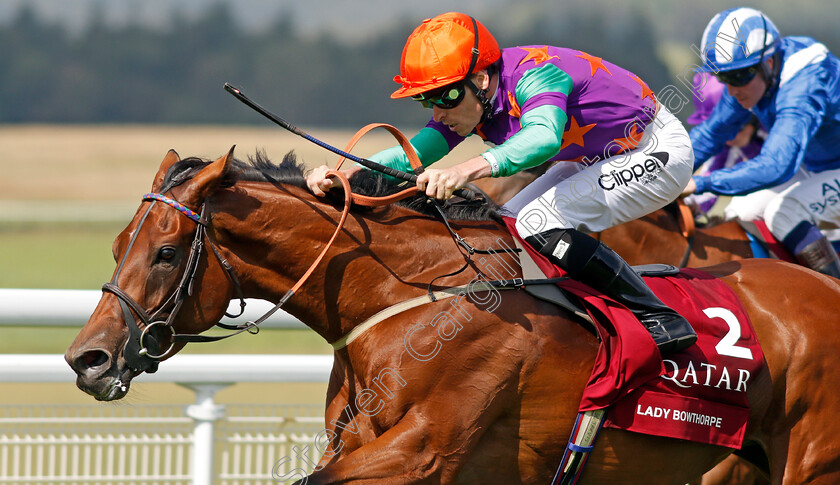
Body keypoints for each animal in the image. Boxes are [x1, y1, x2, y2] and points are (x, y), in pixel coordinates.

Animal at [67, 149, 840, 482]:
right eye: (119, 244)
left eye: (166, 252)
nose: (87, 358)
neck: (407, 301)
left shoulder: (426, 452)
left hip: (810, 463)